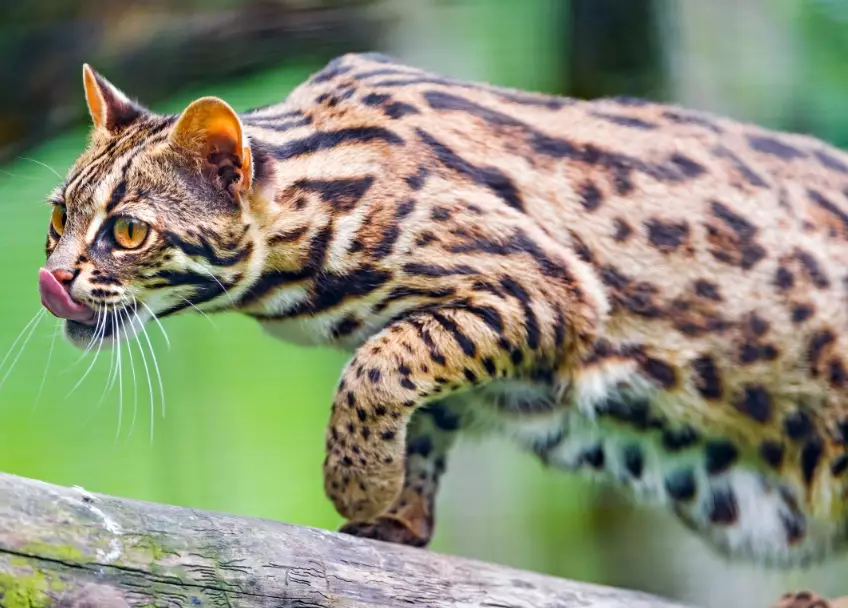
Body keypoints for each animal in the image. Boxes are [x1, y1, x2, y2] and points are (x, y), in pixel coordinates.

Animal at [37, 52, 848, 607]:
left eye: (129, 231)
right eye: (59, 216)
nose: (54, 277)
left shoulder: (550, 290)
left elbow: (379, 361)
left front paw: (358, 485)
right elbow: (416, 387)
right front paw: (397, 508)